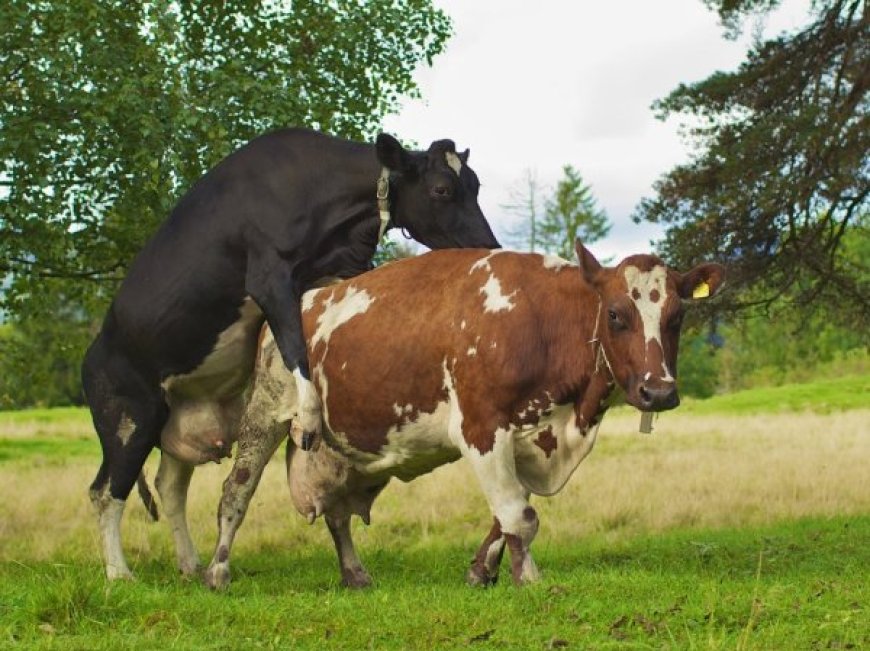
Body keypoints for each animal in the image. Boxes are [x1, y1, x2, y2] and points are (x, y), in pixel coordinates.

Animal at [85, 129, 500, 580]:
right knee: (105, 492)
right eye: (442, 189)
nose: (489, 246)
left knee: (170, 486)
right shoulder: (270, 277)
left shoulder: (337, 270)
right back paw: (119, 572)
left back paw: (190, 565)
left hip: (178, 417)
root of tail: (93, 354)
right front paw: (308, 417)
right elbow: (294, 347)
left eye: (476, 185)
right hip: (130, 420)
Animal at [201, 244, 724, 592]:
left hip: (341, 445)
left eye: (677, 317)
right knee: (236, 492)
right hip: (266, 411)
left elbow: (509, 512)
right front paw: (528, 579)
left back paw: (354, 573)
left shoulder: (529, 436)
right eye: (616, 314)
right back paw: (217, 571)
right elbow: (520, 515)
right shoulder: (480, 426)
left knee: (337, 512)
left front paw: (482, 570)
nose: (659, 391)